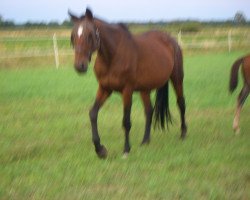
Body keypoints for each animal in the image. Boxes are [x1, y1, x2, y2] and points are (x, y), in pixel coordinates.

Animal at [69, 8, 188, 159]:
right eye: (73, 36)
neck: (113, 56)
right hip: (144, 89)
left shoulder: (127, 90)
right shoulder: (104, 88)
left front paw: (126, 149)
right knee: (149, 110)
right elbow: (93, 113)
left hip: (177, 78)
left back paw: (183, 133)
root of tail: (171, 41)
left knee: (181, 103)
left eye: (90, 35)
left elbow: (126, 121)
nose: (80, 66)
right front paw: (100, 150)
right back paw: (145, 141)